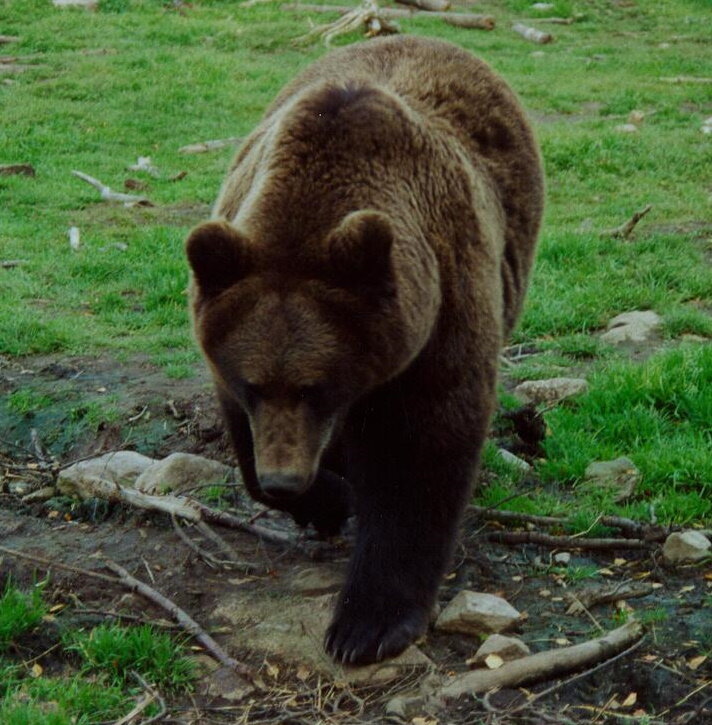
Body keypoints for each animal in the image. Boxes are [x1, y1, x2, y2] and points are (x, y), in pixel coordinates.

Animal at [186, 36, 544, 664]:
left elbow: (417, 454)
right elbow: (244, 441)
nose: (285, 479)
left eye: (316, 386)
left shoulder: (439, 310)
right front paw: (327, 499)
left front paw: (366, 625)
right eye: (254, 384)